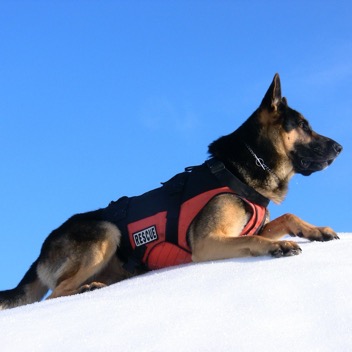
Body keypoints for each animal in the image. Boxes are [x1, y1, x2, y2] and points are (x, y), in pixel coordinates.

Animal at [0, 73, 340, 310]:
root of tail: (42, 249)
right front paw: (278, 247)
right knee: (52, 296)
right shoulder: (206, 244)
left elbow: (287, 217)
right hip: (107, 232)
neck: (240, 168)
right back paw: (86, 288)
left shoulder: (252, 226)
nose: (339, 147)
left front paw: (316, 230)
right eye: (304, 125)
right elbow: (254, 239)